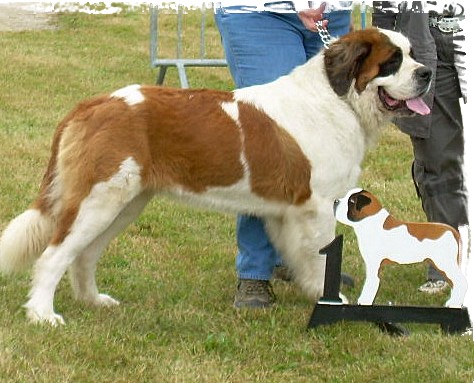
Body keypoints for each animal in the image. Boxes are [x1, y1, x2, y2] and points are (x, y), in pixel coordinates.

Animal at [0, 28, 434, 326]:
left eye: (412, 55)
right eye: (392, 61)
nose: (427, 72)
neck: (338, 98)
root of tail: (93, 104)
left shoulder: (287, 212)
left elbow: (303, 256)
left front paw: (311, 291)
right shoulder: (317, 207)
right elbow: (321, 255)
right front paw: (332, 302)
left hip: (123, 204)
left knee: (84, 254)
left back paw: (93, 301)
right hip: (99, 200)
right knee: (54, 254)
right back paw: (43, 314)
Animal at [336, 189, 468, 308]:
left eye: (351, 201)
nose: (336, 201)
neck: (371, 222)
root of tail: (452, 230)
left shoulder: (373, 265)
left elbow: (371, 283)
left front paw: (364, 301)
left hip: (445, 263)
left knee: (461, 281)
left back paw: (454, 304)